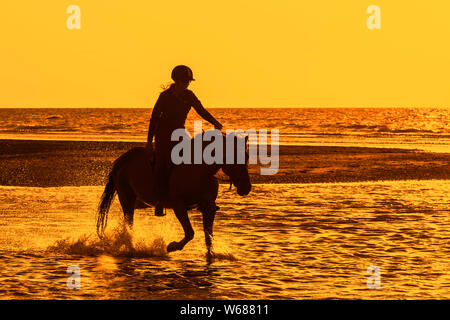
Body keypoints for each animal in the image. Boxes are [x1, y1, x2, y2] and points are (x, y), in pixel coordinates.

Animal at [96, 131, 251, 255]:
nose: (246, 187)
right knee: (129, 224)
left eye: (247, 156)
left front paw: (211, 256)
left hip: (137, 202)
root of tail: (120, 161)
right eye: (234, 157)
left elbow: (208, 236)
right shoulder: (179, 206)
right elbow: (190, 233)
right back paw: (130, 248)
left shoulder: (208, 207)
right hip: (127, 199)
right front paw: (172, 246)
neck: (199, 170)